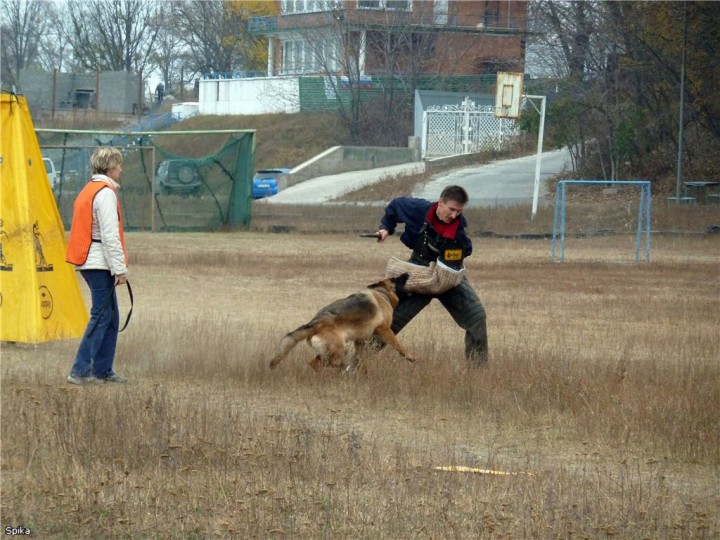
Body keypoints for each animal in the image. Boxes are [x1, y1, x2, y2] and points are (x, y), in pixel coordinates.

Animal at [270, 274, 416, 372]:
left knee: (315, 363)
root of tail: (316, 323)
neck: (382, 293)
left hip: (331, 350)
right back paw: (341, 367)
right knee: (325, 363)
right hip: (339, 348)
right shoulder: (384, 329)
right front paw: (410, 356)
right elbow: (398, 345)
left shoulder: (360, 340)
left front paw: (360, 369)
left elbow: (360, 356)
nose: (407, 273)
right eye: (395, 278)